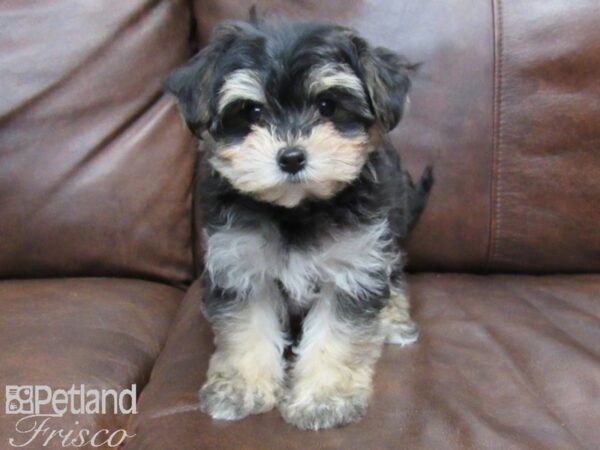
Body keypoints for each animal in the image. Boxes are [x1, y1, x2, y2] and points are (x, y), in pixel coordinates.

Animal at [166, 14, 434, 430]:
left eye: (327, 105)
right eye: (252, 113)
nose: (291, 157)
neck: (295, 209)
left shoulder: (352, 264)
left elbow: (335, 337)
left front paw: (324, 398)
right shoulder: (241, 264)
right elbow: (247, 330)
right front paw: (243, 388)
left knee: (393, 277)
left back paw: (392, 321)